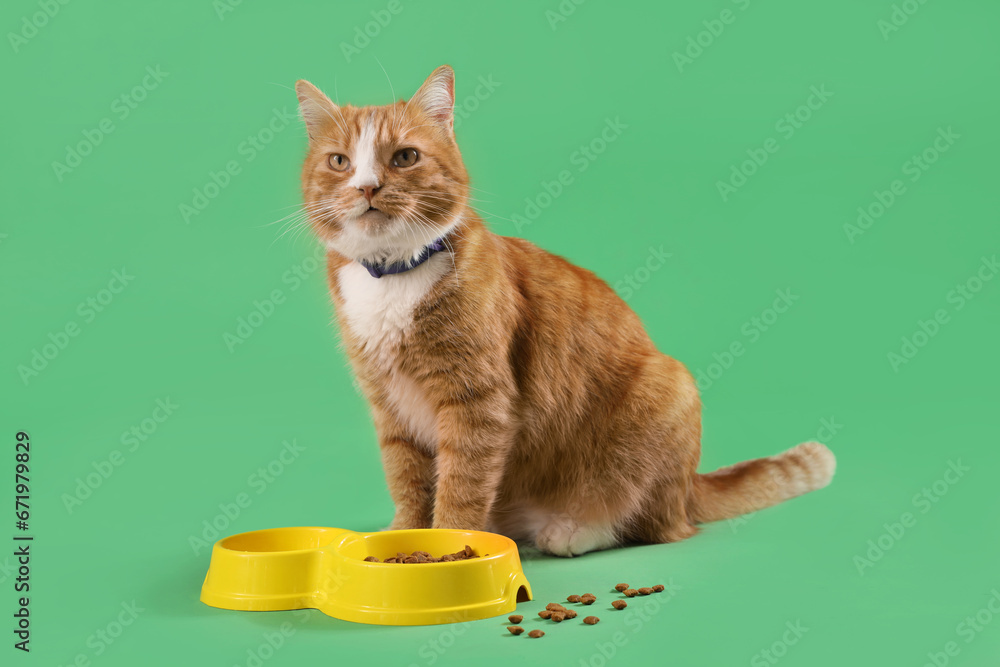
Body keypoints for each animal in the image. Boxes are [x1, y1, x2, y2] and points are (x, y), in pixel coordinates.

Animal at [292, 65, 832, 556]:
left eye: (405, 157)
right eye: (340, 161)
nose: (366, 187)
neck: (392, 278)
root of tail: (690, 487)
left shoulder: (477, 403)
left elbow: (462, 483)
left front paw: (449, 545)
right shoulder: (390, 407)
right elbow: (407, 480)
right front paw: (402, 538)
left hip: (666, 392)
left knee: (645, 522)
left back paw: (574, 530)